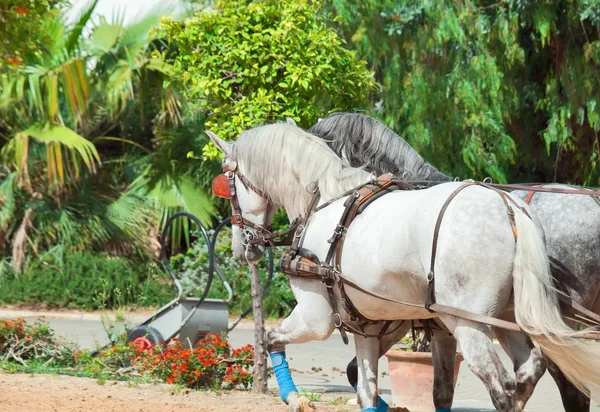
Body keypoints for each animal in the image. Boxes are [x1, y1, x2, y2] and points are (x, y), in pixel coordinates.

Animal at [207, 123, 600, 412]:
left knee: (506, 387)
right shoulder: (368, 325)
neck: (327, 199)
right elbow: (370, 389)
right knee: (530, 371)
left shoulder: (317, 318)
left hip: (470, 324)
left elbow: (271, 338)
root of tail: (508, 207)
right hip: (508, 320)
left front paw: (293, 397)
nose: (243, 246)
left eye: (228, 184)